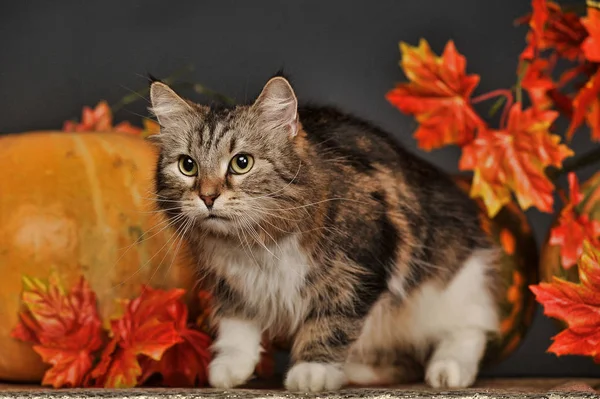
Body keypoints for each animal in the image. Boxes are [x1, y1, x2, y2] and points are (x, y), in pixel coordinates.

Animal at [149, 75, 502, 394]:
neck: (255, 243)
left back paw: (448, 369)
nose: (207, 197)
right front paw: (229, 368)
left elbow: (330, 324)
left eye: (241, 163)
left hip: (453, 284)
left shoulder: (358, 268)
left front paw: (312, 370)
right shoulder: (232, 286)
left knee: (469, 328)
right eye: (188, 166)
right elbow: (237, 328)